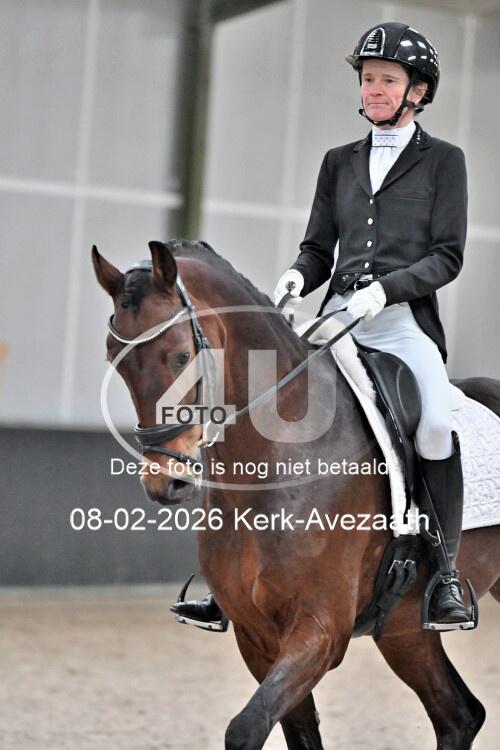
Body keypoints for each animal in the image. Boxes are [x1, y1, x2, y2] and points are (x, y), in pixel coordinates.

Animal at [93, 239, 500, 750]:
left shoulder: (320, 630)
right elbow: (296, 732)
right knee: (459, 714)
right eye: (114, 358)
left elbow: (246, 728)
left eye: (181, 357)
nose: (164, 481)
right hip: (405, 629)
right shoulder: (256, 636)